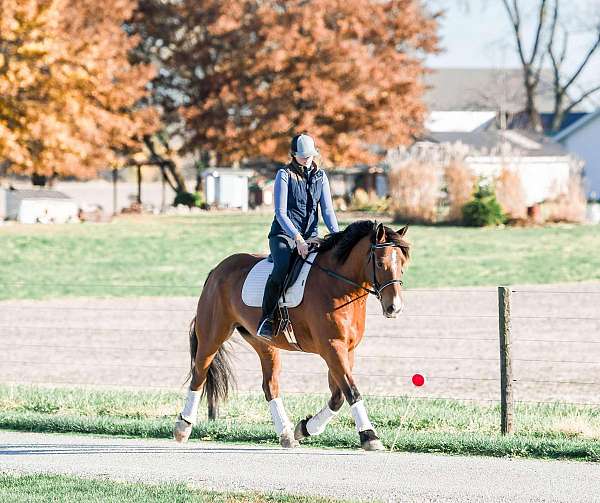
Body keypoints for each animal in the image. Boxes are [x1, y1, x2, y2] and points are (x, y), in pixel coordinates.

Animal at [171, 222, 410, 450]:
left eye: (402, 265)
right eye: (380, 263)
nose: (394, 308)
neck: (339, 286)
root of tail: (217, 270)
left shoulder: (346, 349)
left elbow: (338, 396)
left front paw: (305, 428)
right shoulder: (332, 347)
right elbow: (351, 391)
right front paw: (369, 436)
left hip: (264, 343)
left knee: (270, 386)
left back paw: (286, 434)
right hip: (212, 336)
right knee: (199, 375)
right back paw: (183, 427)